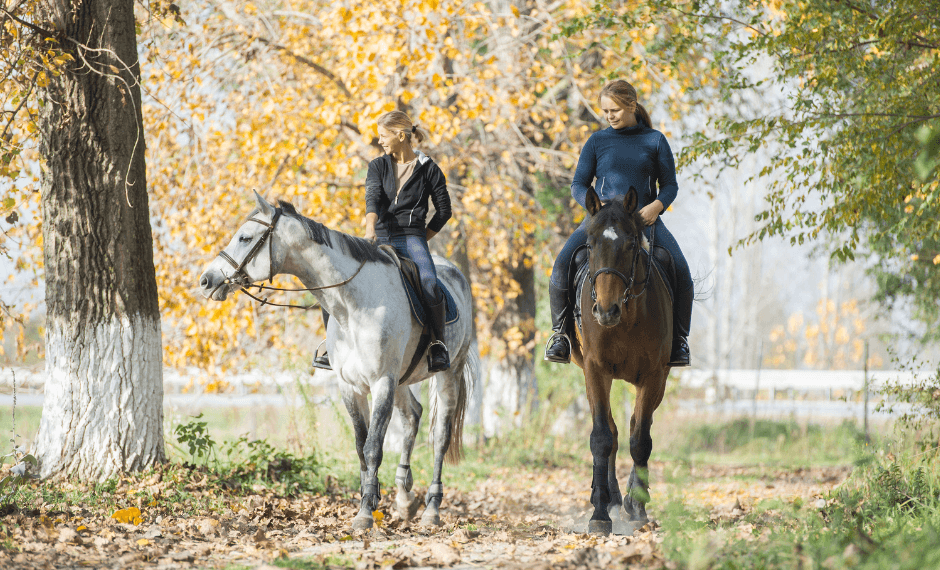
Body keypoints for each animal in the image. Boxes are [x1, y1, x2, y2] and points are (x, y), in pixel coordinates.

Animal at [199, 191, 480, 530]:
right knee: (412, 415)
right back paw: (404, 498)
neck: (354, 305)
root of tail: (454, 273)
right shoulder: (351, 386)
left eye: (245, 237)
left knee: (440, 436)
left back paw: (431, 509)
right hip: (402, 379)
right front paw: (370, 501)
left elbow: (373, 447)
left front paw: (365, 514)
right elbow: (360, 446)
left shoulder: (381, 382)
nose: (206, 280)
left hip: (447, 374)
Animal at [568, 186, 672, 535]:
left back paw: (626, 498)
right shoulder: (595, 370)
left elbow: (639, 440)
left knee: (633, 427)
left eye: (630, 245)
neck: (626, 319)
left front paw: (637, 506)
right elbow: (601, 437)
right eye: (589, 245)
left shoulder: (654, 376)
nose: (605, 311)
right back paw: (606, 496)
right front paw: (600, 515)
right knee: (610, 432)